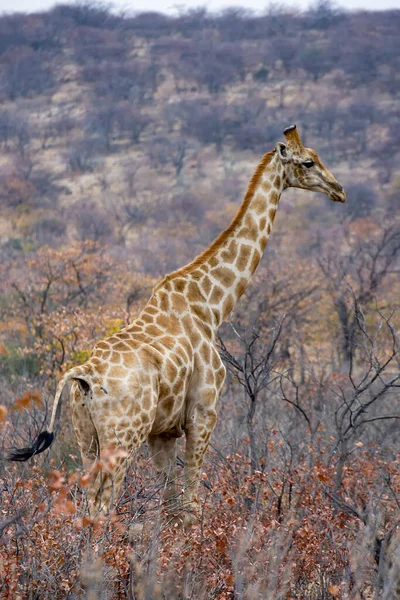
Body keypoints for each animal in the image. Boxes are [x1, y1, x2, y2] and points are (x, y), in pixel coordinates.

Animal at [9, 124, 346, 524]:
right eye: (308, 161)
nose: (339, 190)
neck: (211, 306)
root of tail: (83, 374)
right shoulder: (203, 412)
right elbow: (190, 504)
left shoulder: (163, 432)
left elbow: (171, 505)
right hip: (123, 437)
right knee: (104, 507)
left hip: (85, 436)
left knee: (87, 504)